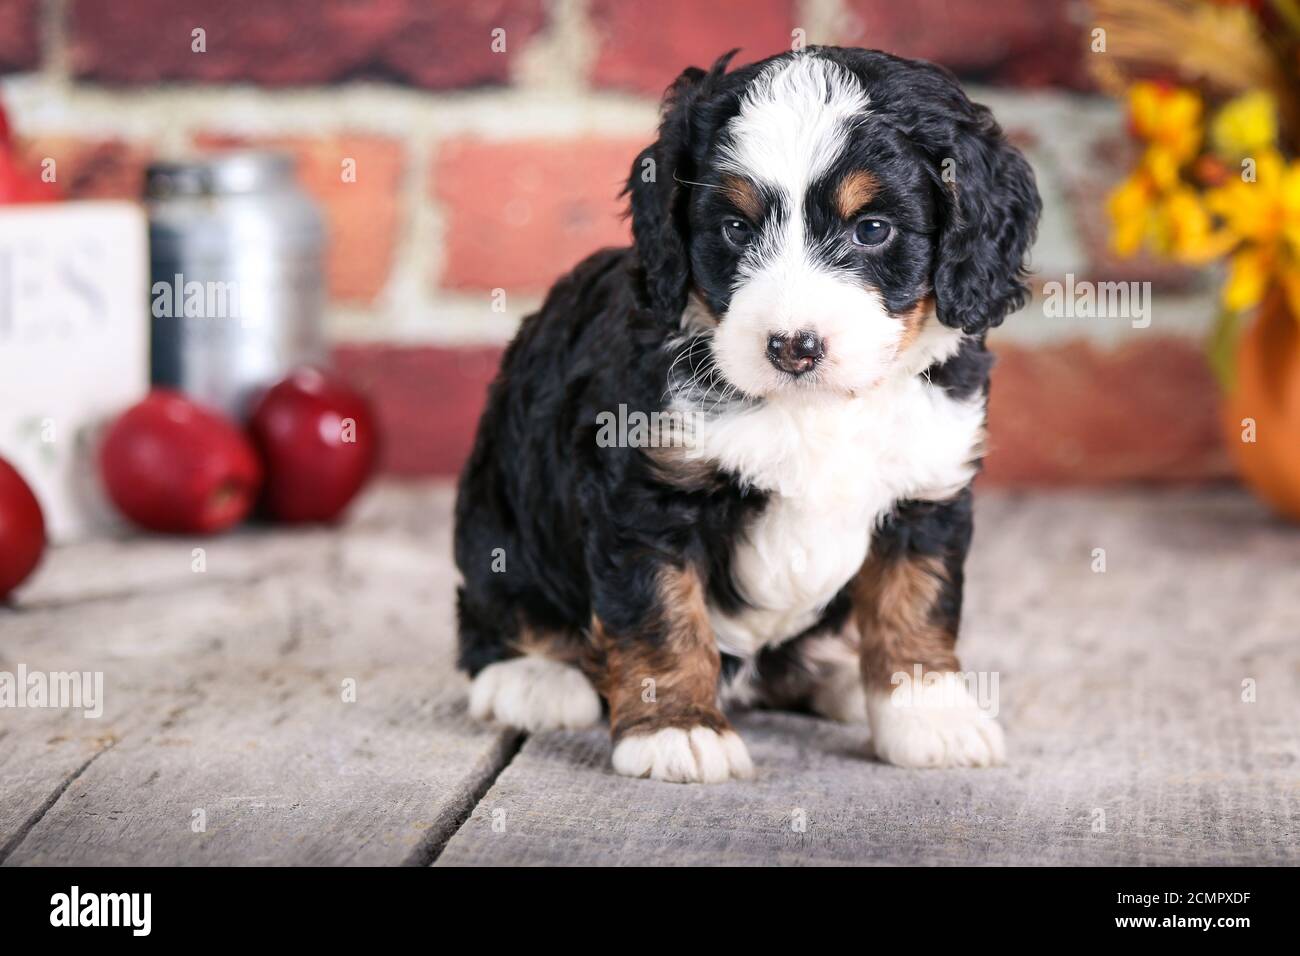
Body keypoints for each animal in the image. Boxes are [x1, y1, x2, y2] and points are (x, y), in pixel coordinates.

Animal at [452, 46, 1040, 785]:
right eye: (735, 228)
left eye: (872, 229)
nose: (794, 347)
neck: (815, 408)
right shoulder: (645, 490)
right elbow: (661, 615)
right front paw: (677, 729)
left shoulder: (926, 489)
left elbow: (916, 605)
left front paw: (929, 716)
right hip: (497, 512)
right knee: (492, 609)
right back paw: (533, 679)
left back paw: (837, 676)